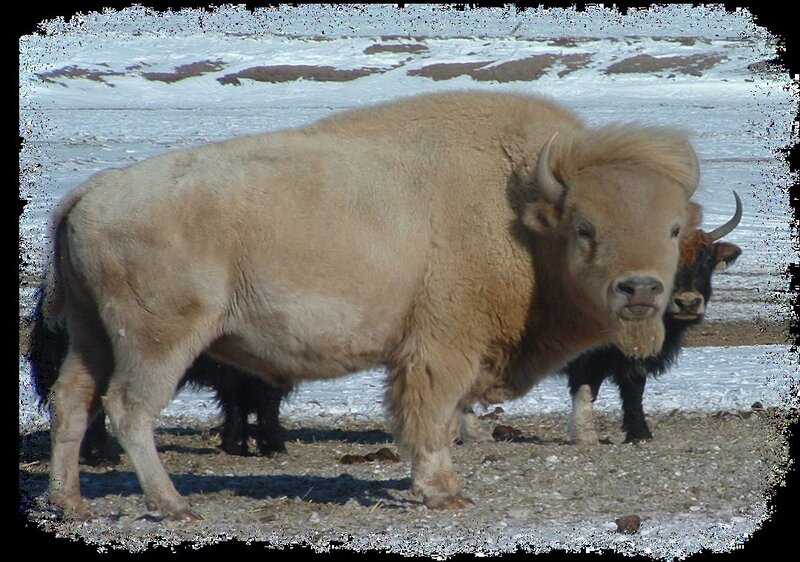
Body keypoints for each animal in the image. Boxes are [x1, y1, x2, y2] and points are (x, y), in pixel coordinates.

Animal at [38, 91, 702, 519]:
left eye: (673, 229)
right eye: (586, 228)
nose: (641, 289)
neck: (520, 212)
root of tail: (91, 190)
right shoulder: (441, 350)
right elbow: (429, 420)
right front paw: (443, 493)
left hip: (93, 336)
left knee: (71, 403)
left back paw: (71, 504)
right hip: (158, 340)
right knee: (128, 409)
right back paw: (174, 506)